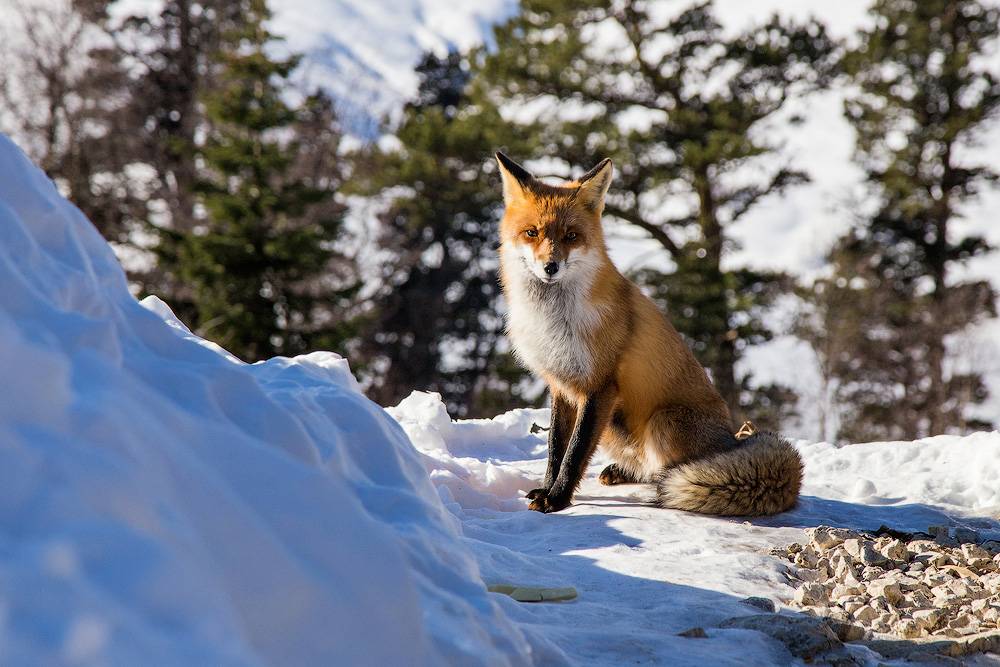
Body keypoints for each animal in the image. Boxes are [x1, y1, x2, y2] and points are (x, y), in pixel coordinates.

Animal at [494, 155, 804, 516]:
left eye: (571, 236)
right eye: (532, 233)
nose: (550, 267)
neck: (554, 321)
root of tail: (730, 439)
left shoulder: (599, 385)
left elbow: (575, 453)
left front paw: (557, 498)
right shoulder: (561, 385)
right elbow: (555, 449)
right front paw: (547, 488)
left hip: (662, 423)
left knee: (675, 471)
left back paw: (672, 484)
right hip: (615, 428)